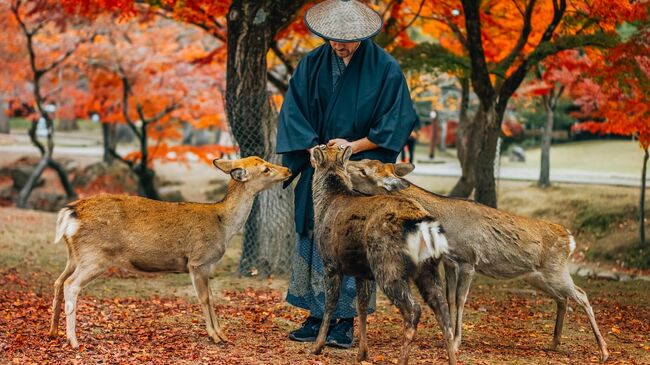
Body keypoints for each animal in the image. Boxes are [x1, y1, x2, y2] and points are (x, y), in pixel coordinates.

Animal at [50, 156, 292, 346]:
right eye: (265, 169)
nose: (288, 170)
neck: (223, 225)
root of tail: (69, 213)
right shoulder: (198, 260)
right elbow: (204, 298)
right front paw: (215, 336)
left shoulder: (208, 265)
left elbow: (212, 297)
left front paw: (222, 333)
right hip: (95, 255)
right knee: (71, 285)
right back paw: (73, 340)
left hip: (75, 255)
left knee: (59, 281)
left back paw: (54, 333)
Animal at [310, 144, 456, 364]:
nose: (313, 148)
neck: (325, 204)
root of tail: (423, 225)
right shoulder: (362, 271)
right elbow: (361, 307)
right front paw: (362, 353)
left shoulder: (330, 262)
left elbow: (330, 304)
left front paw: (318, 346)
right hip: (428, 268)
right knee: (444, 313)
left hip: (388, 264)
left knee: (414, 310)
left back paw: (402, 359)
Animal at [344, 159, 608, 362]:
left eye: (364, 170)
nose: (347, 161)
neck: (446, 225)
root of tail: (569, 238)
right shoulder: (449, 261)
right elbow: (450, 299)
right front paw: (448, 336)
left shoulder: (468, 260)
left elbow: (461, 301)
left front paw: (457, 342)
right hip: (538, 276)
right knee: (563, 298)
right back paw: (554, 342)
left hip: (556, 270)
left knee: (582, 295)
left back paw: (603, 351)